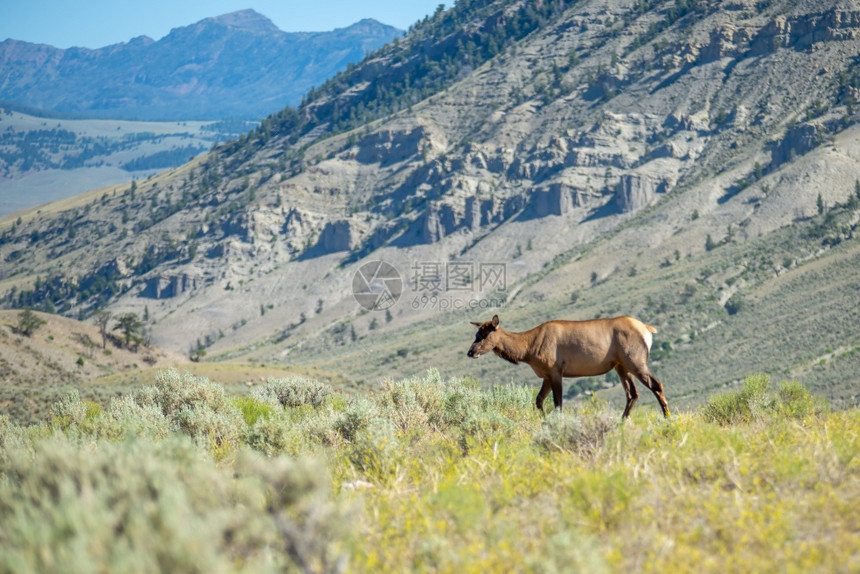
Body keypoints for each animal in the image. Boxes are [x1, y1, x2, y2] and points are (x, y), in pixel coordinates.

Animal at [466, 316, 668, 418]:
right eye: (476, 333)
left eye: (484, 335)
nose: (470, 352)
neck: (528, 350)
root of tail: (648, 329)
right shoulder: (546, 375)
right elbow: (539, 401)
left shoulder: (556, 371)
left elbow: (558, 403)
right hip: (621, 365)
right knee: (633, 393)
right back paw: (621, 422)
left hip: (636, 361)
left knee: (656, 385)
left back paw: (668, 418)